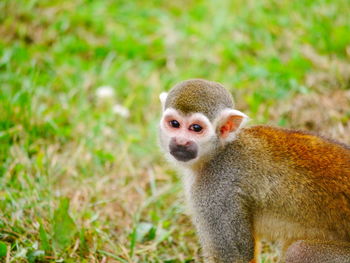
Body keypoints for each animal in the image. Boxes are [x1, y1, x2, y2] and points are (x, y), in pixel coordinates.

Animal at [158, 79, 350, 262]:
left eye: (196, 128)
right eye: (174, 124)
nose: (181, 142)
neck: (219, 152)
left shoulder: (216, 190)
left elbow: (236, 256)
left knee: (299, 252)